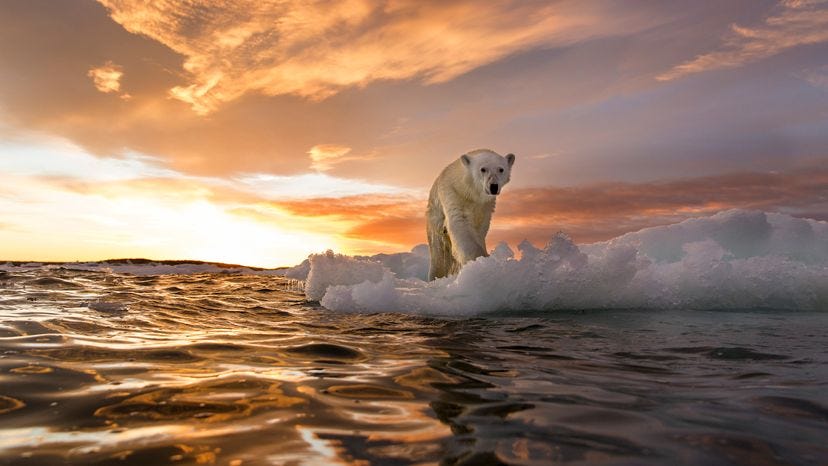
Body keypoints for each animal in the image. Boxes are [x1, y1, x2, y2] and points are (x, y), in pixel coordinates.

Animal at [426, 149, 515, 280]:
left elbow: (480, 229)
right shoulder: (453, 195)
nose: (493, 186)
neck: (470, 192)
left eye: (501, 169)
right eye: (483, 169)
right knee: (439, 255)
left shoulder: (485, 206)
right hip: (435, 222)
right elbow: (460, 224)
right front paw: (479, 261)